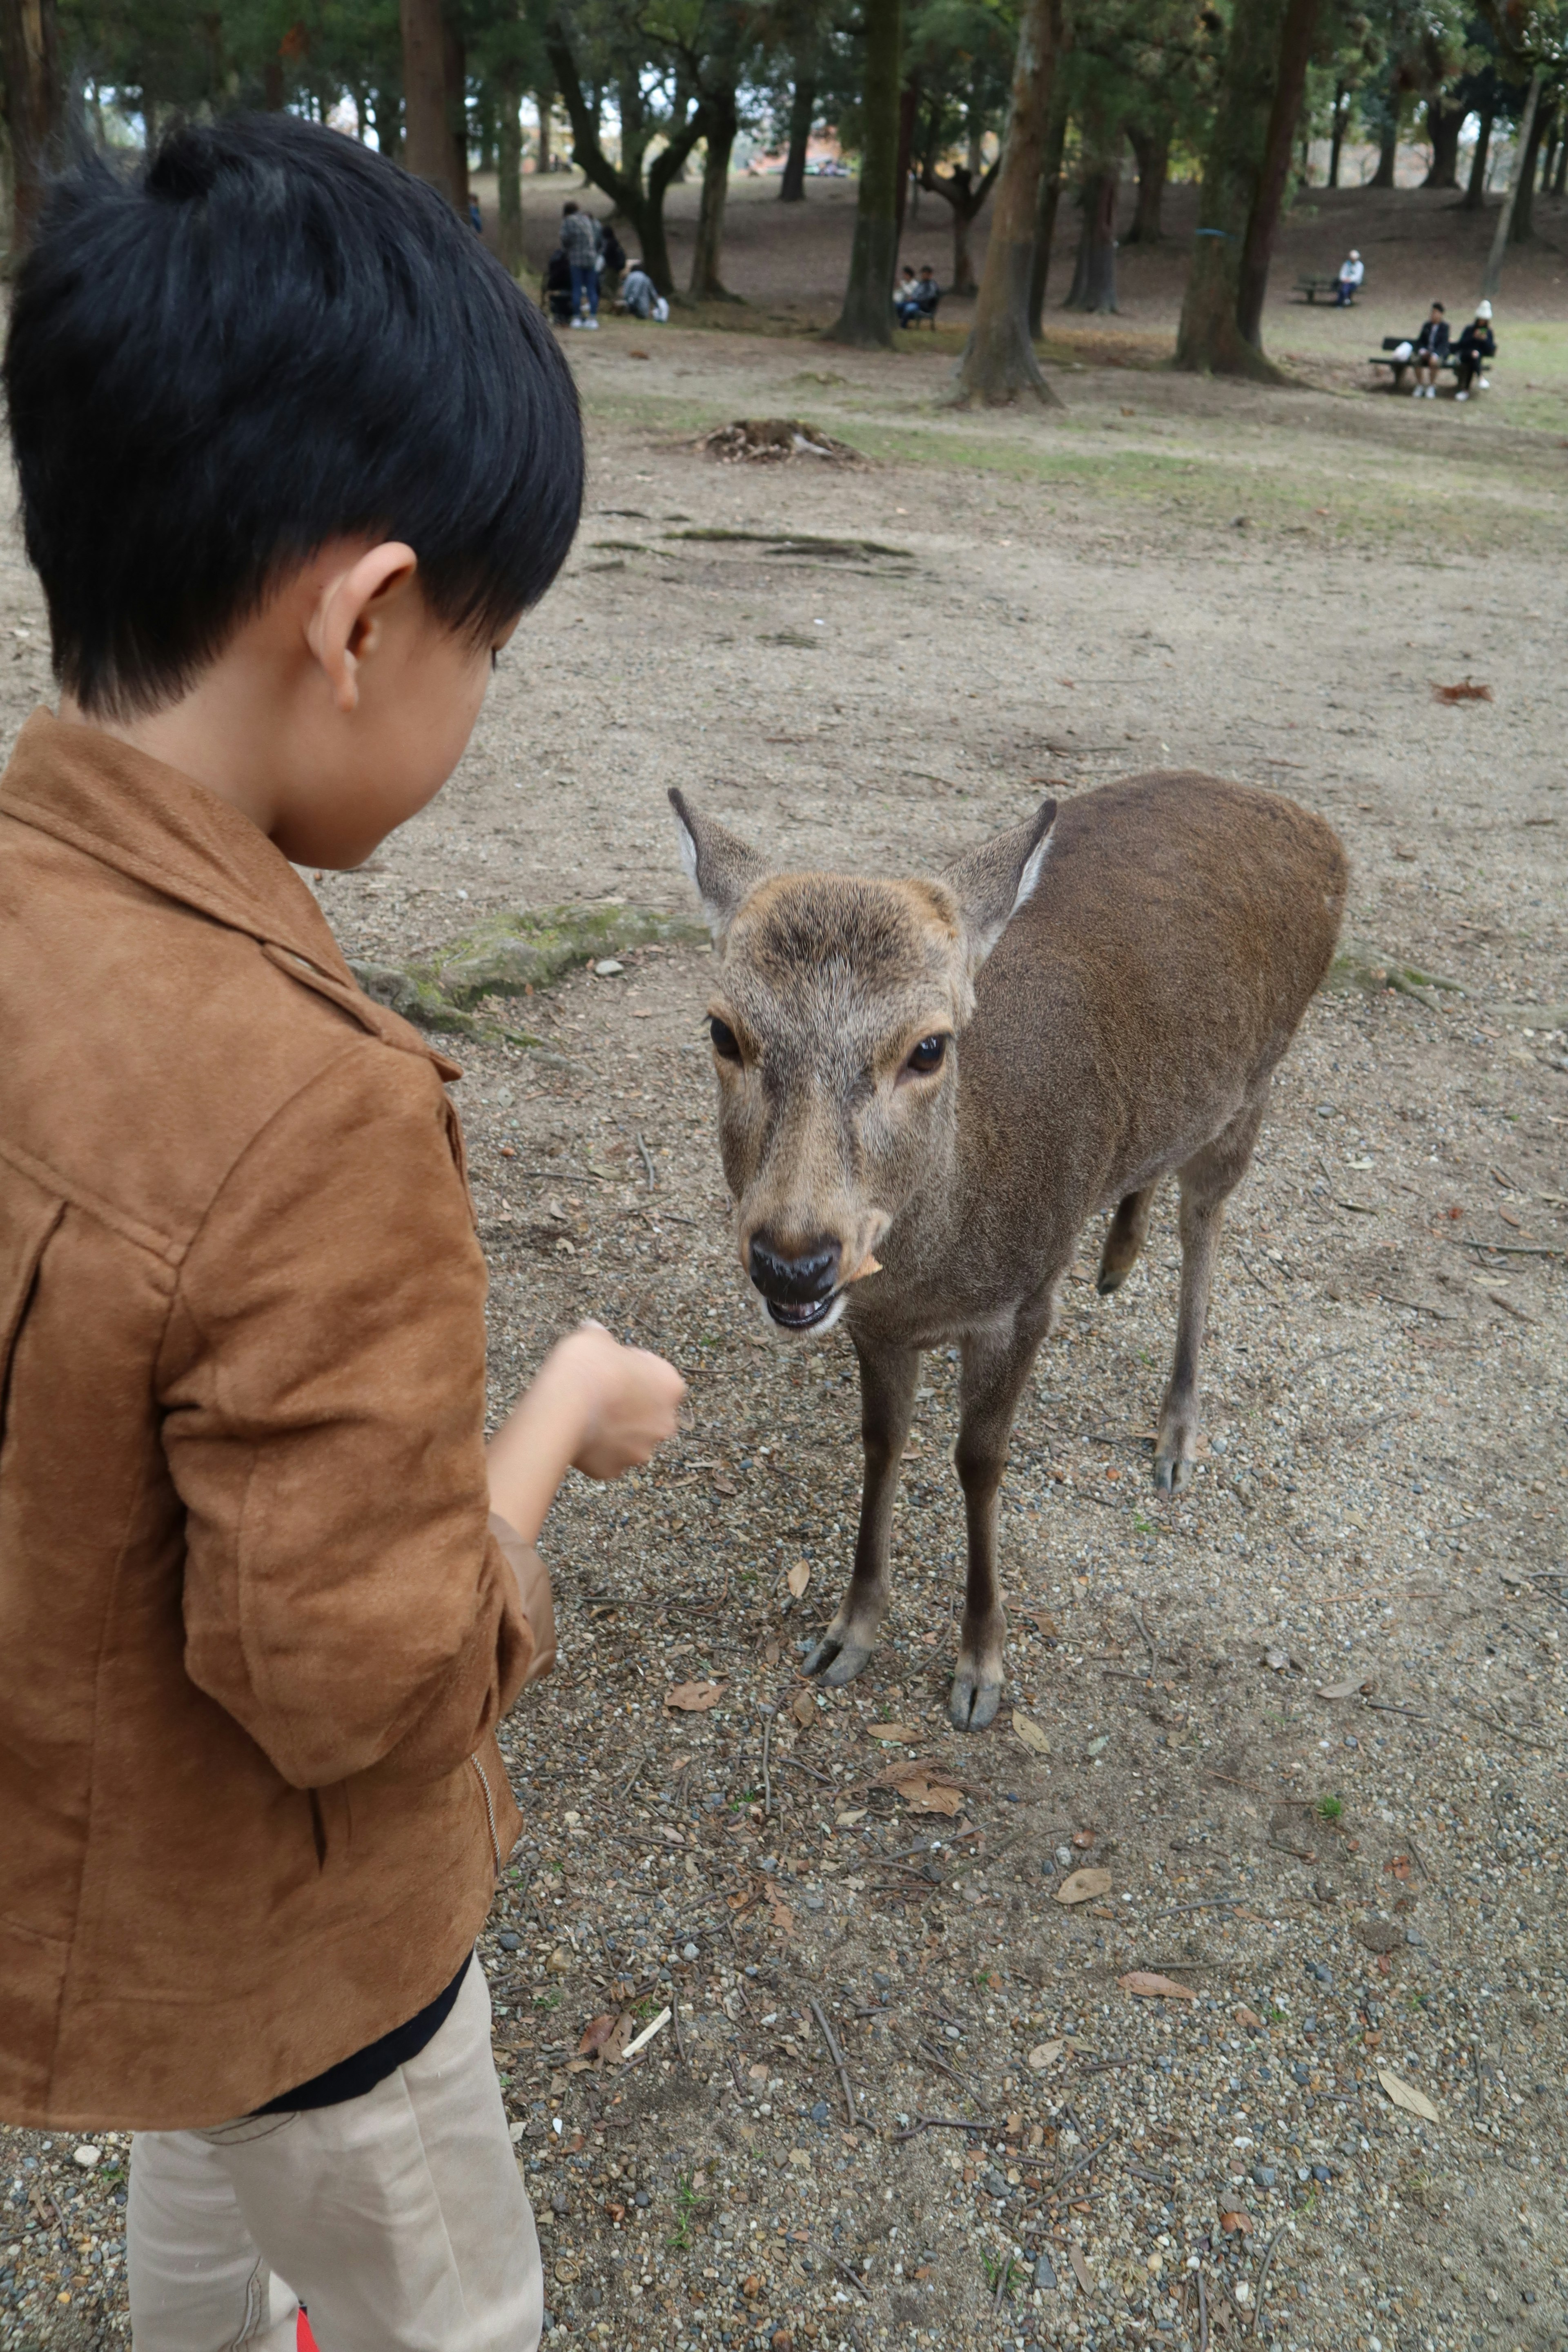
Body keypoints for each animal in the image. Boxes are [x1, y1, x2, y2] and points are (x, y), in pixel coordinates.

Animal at [668, 776, 1345, 1731]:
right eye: (723, 1032)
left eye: (929, 1046)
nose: (792, 1261)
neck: (937, 1274)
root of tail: (1312, 825)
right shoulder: (877, 1324)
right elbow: (883, 1444)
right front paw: (848, 1632)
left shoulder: (1024, 1301)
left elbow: (979, 1463)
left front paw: (980, 1666)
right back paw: (1117, 1256)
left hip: (1257, 1084)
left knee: (1206, 1227)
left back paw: (1177, 1430)